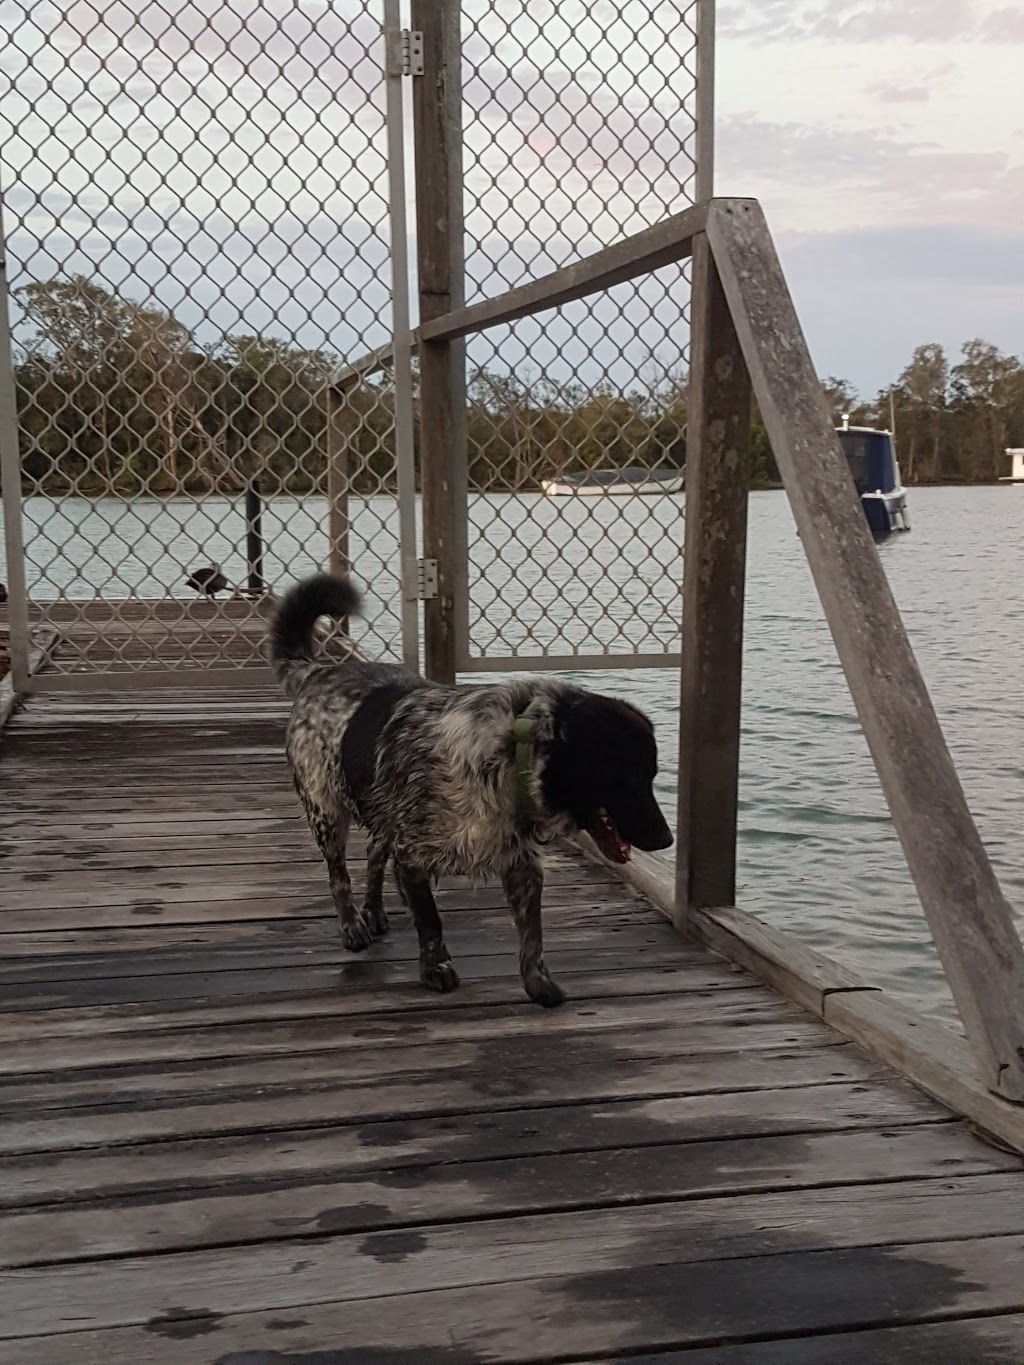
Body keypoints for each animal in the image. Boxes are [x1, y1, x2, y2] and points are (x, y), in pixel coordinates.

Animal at [268, 570, 677, 1010]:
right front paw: (436, 969)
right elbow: (431, 921)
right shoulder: (411, 856)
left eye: (652, 775)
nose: (667, 840)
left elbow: (533, 938)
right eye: (627, 777)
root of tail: (316, 673)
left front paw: (539, 986)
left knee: (375, 855)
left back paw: (374, 912)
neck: (509, 753)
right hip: (325, 812)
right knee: (338, 873)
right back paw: (352, 925)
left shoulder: (522, 866)